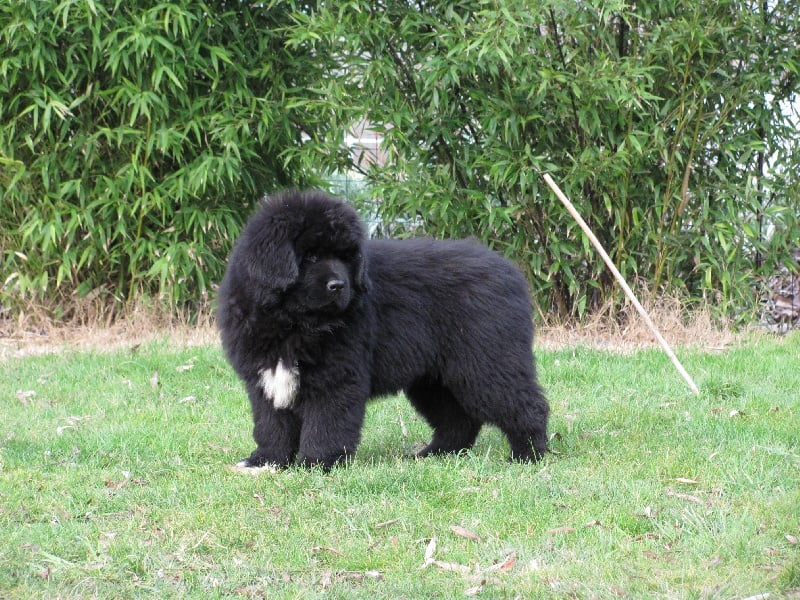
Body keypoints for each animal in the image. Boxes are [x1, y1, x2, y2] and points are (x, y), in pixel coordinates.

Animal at [216, 190, 548, 472]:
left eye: (346, 257)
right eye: (310, 257)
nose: (338, 286)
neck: (294, 322)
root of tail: (509, 270)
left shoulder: (337, 376)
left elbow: (325, 423)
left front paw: (316, 463)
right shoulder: (264, 379)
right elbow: (271, 424)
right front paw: (266, 461)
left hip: (487, 361)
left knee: (526, 405)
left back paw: (528, 455)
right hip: (433, 379)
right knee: (458, 419)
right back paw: (435, 454)